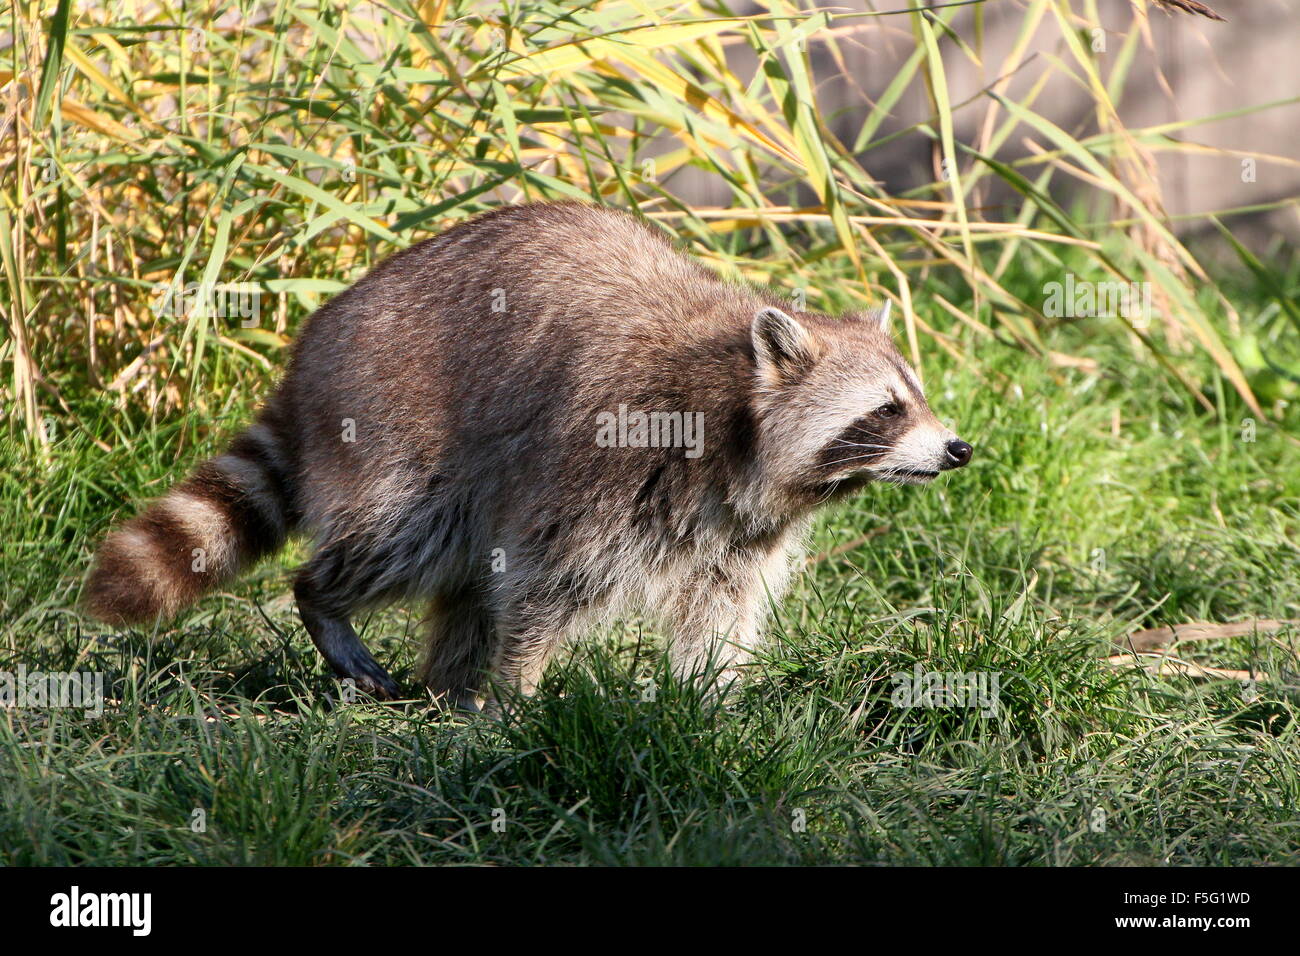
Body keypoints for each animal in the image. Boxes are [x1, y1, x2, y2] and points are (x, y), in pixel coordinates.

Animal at [83, 201, 977, 712]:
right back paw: (329, 600)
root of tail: (310, 356)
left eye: (917, 397)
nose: (959, 448)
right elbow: (548, 581)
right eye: (889, 409)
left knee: (464, 581)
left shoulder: (738, 531)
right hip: (395, 426)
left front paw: (711, 702)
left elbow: (719, 608)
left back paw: (449, 688)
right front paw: (518, 688)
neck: (735, 421)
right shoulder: (609, 456)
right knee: (408, 540)